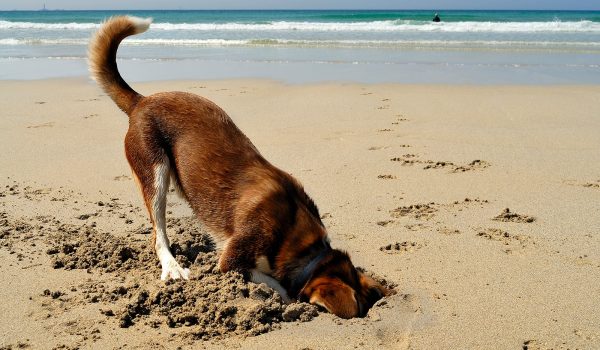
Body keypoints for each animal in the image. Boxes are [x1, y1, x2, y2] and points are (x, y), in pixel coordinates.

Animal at [89, 15, 390, 318]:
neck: (301, 241)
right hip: (155, 173)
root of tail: (141, 100)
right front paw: (286, 298)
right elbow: (273, 282)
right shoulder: (232, 260)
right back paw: (173, 267)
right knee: (158, 234)